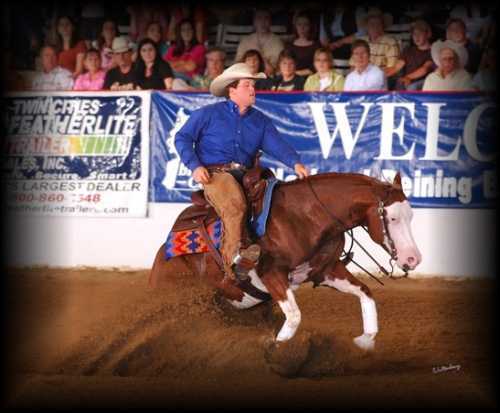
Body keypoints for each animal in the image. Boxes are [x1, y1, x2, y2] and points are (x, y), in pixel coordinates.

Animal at [149, 171, 422, 351]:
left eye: (411, 216)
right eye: (393, 218)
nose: (413, 258)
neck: (306, 217)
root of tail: (162, 256)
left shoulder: (327, 270)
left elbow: (365, 293)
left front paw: (365, 341)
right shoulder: (272, 274)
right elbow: (294, 317)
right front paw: (274, 349)